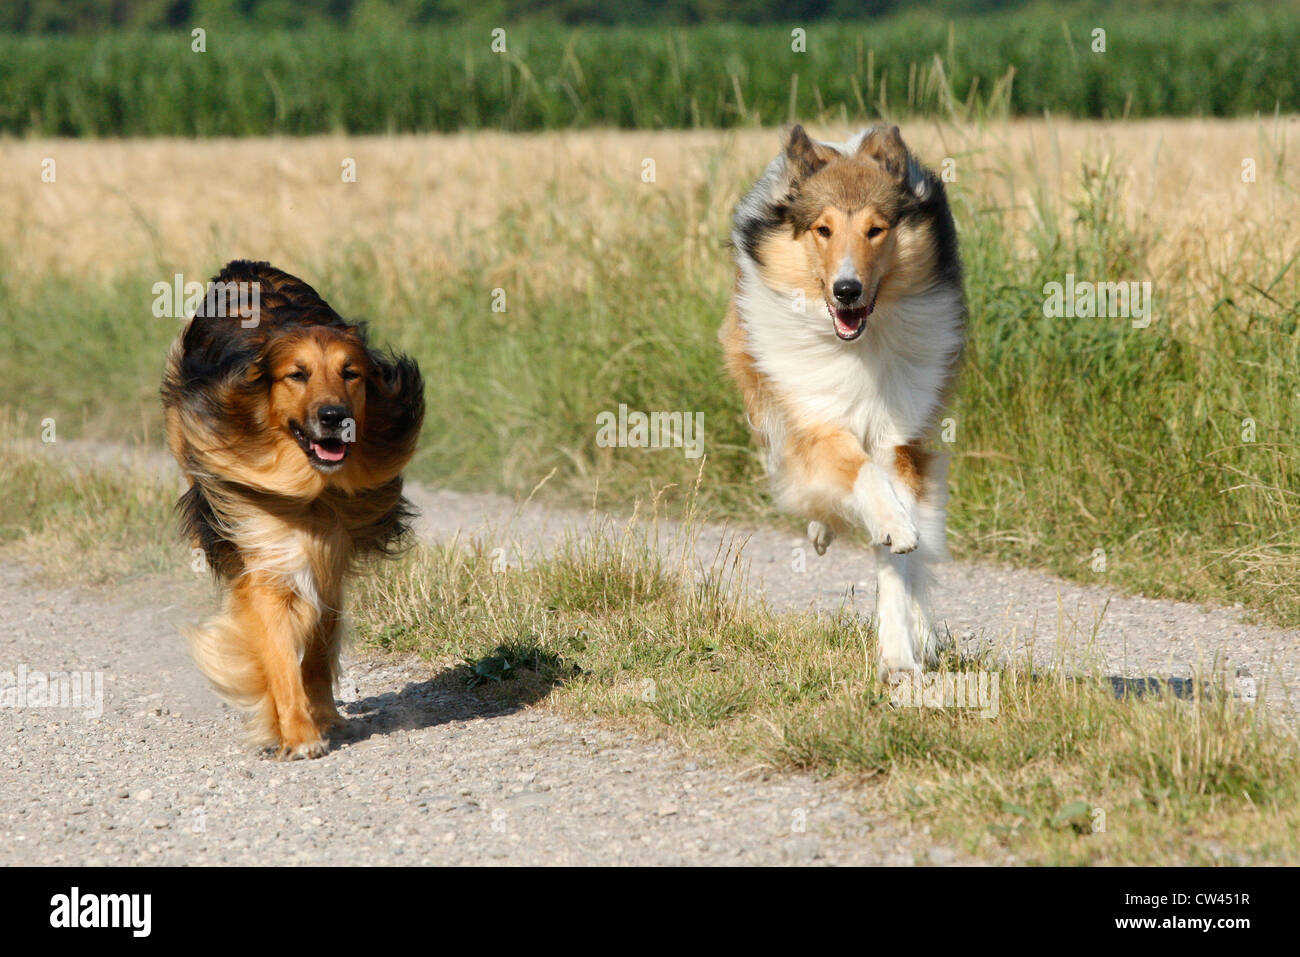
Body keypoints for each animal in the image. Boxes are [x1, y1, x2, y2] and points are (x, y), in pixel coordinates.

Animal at [156, 260, 421, 754]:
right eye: (297, 375)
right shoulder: (265, 547)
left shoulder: (331, 552)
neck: (313, 488)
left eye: (350, 373)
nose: (335, 417)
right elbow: (278, 650)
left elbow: (318, 641)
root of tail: (243, 266)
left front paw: (323, 715)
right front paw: (298, 733)